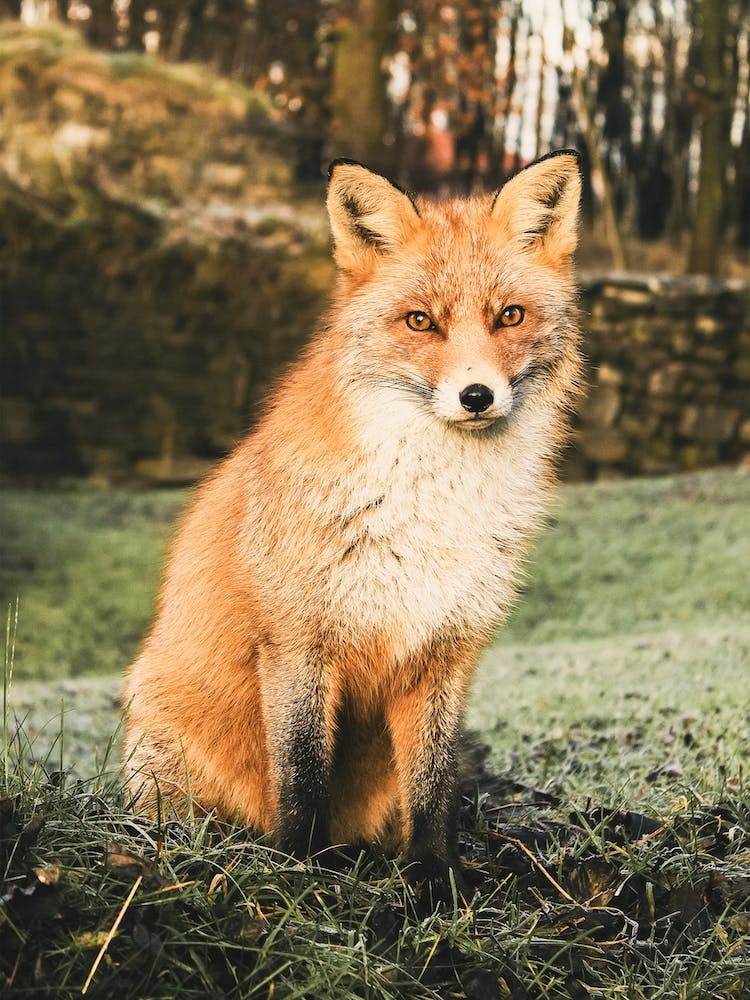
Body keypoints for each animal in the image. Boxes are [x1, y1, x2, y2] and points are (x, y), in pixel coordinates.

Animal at [123, 150, 583, 897]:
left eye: (510, 316)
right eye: (420, 322)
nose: (476, 395)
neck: (431, 509)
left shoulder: (445, 653)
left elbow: (433, 790)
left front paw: (436, 881)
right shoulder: (298, 644)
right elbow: (303, 778)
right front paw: (301, 873)